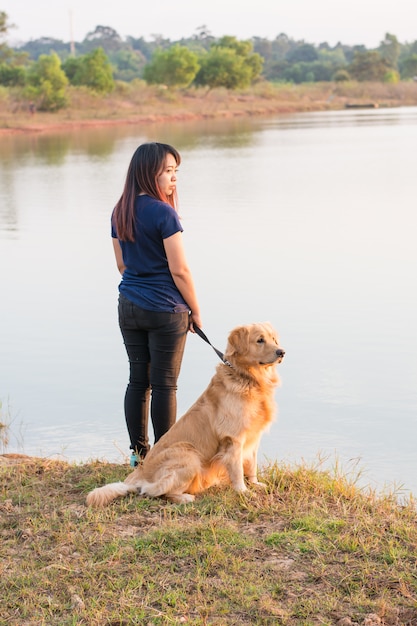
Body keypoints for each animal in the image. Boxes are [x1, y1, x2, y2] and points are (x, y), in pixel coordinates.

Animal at [86, 322, 284, 508]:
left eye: (274, 339)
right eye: (260, 340)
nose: (282, 352)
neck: (247, 377)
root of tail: (137, 474)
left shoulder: (253, 437)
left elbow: (251, 464)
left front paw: (255, 484)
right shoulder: (233, 439)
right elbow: (237, 470)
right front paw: (242, 491)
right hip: (189, 454)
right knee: (155, 492)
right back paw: (185, 497)